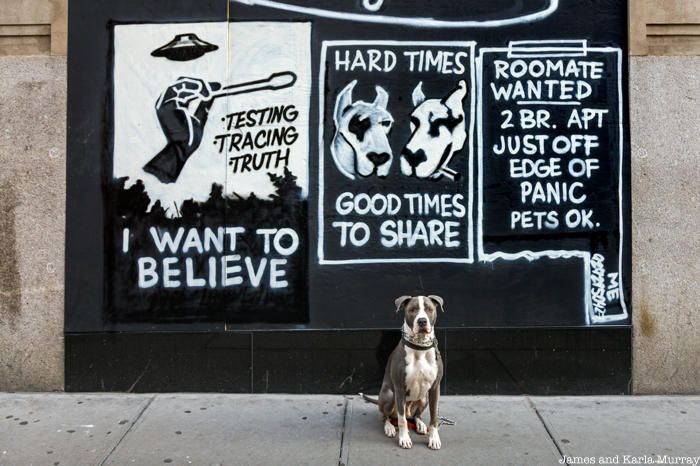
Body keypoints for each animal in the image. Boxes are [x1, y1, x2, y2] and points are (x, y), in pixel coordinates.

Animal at [370, 296, 446, 450]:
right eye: (412, 310)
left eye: (429, 309)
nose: (422, 321)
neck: (420, 346)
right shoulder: (399, 388)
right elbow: (402, 419)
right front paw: (404, 438)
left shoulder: (435, 388)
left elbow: (434, 418)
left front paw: (434, 439)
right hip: (390, 395)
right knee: (386, 416)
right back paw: (389, 427)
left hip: (424, 398)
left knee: (415, 416)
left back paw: (420, 424)